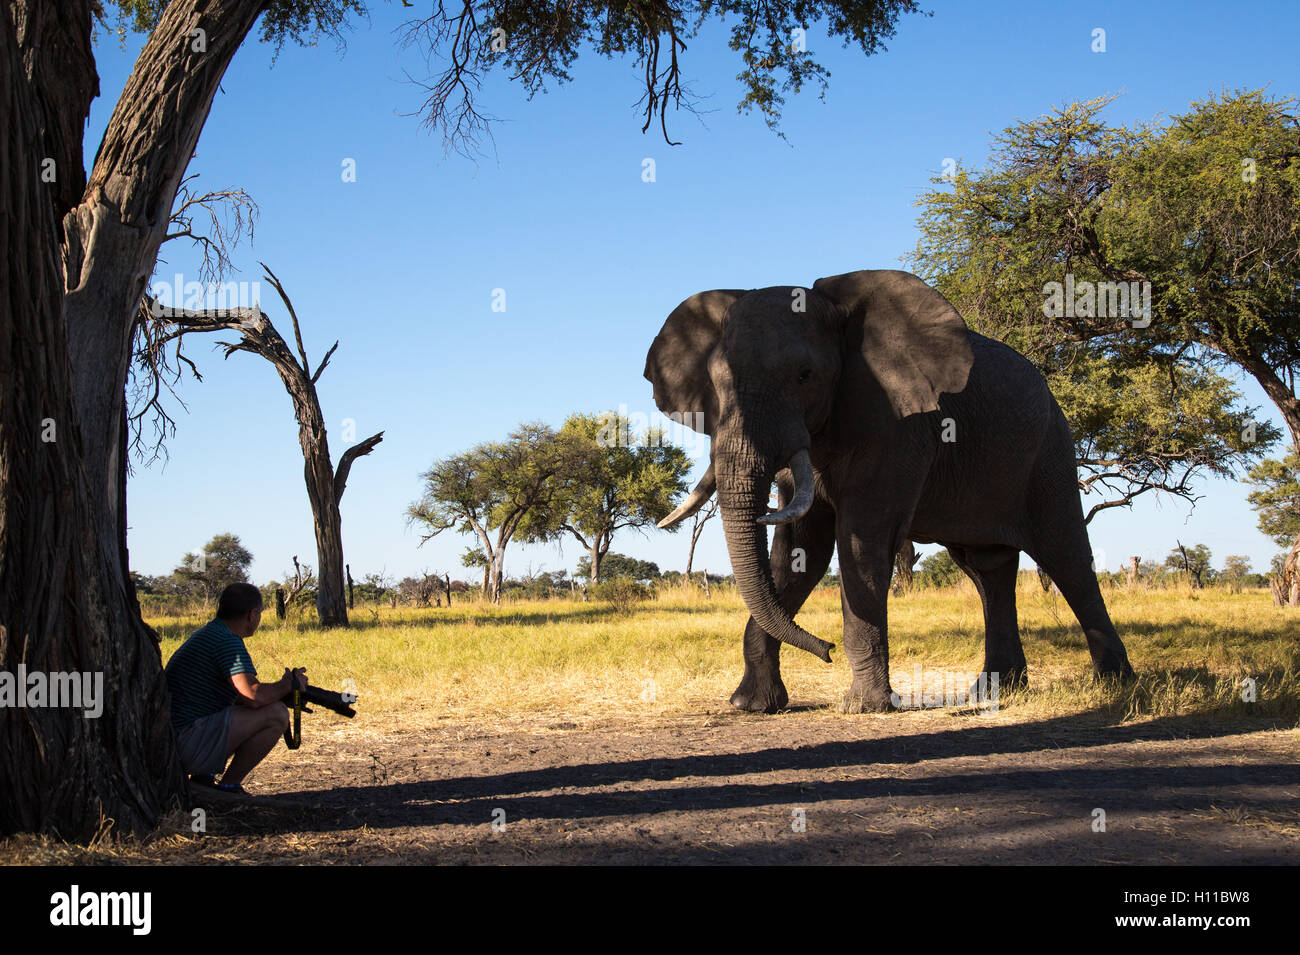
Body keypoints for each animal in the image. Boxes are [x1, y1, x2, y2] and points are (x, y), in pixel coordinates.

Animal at [644, 272, 1133, 712]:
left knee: (1067, 556)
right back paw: (994, 693)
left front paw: (863, 706)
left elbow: (861, 541)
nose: (826, 650)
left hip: (1050, 448)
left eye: (805, 375)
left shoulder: (900, 425)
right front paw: (750, 705)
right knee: (986, 568)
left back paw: (1114, 686)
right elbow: (799, 551)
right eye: (716, 382)